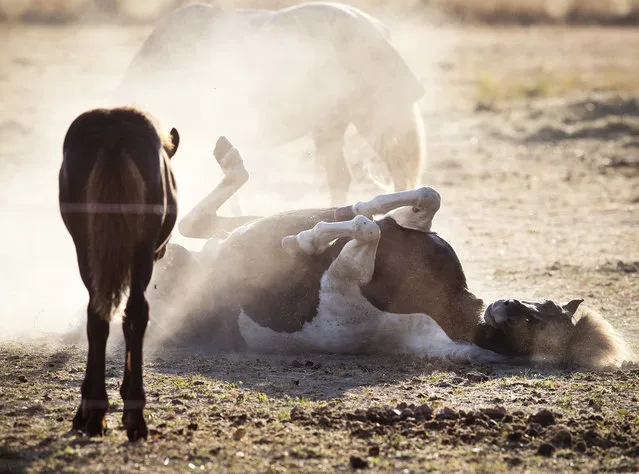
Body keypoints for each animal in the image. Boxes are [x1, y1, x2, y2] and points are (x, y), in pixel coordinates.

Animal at [59, 106, 180, 440]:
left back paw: (96, 412)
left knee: (98, 315)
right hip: (140, 253)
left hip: (88, 249)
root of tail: (113, 134)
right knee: (134, 313)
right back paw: (131, 415)